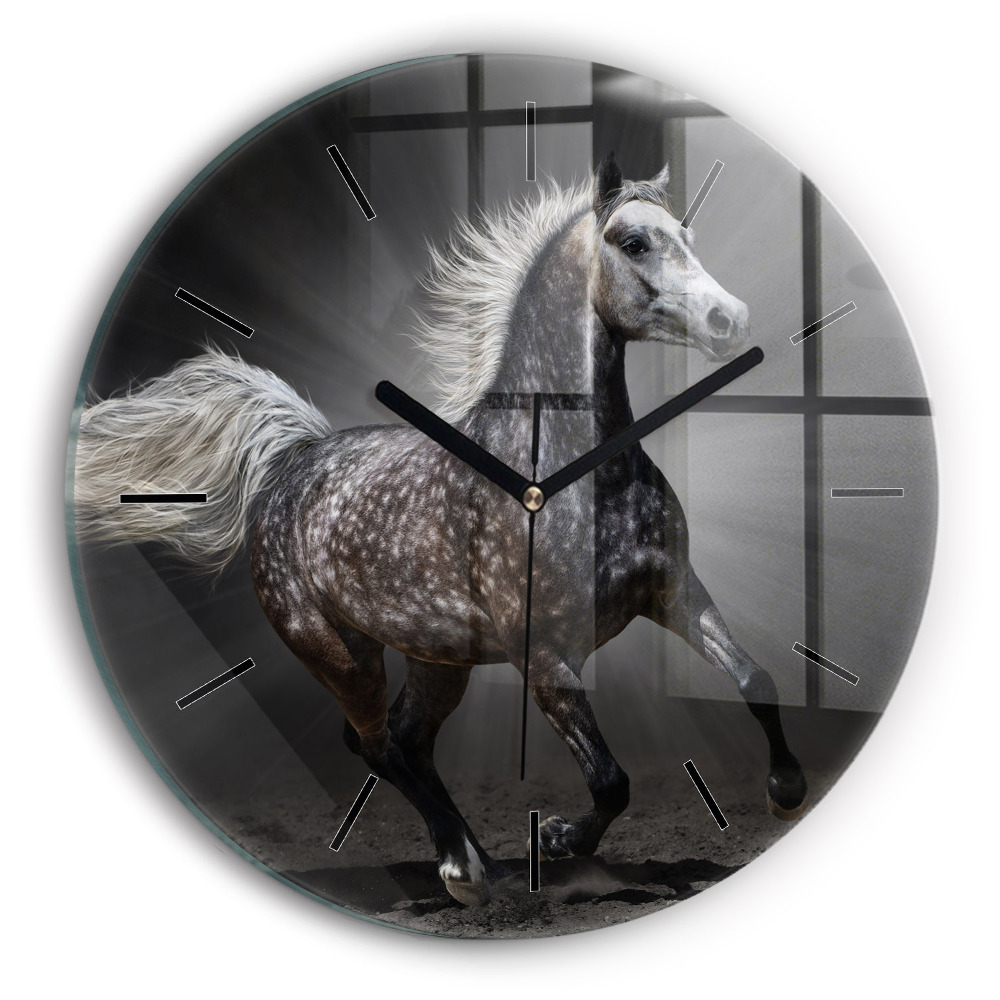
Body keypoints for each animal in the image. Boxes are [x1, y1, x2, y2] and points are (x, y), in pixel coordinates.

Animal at [74, 154, 808, 907]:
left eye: (685, 235)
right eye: (634, 242)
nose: (729, 318)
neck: (567, 474)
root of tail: (294, 460)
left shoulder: (674, 592)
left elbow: (757, 680)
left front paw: (785, 790)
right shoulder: (545, 658)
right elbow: (611, 782)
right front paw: (557, 839)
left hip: (438, 660)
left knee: (407, 741)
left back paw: (483, 864)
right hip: (340, 653)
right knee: (374, 743)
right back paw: (464, 869)